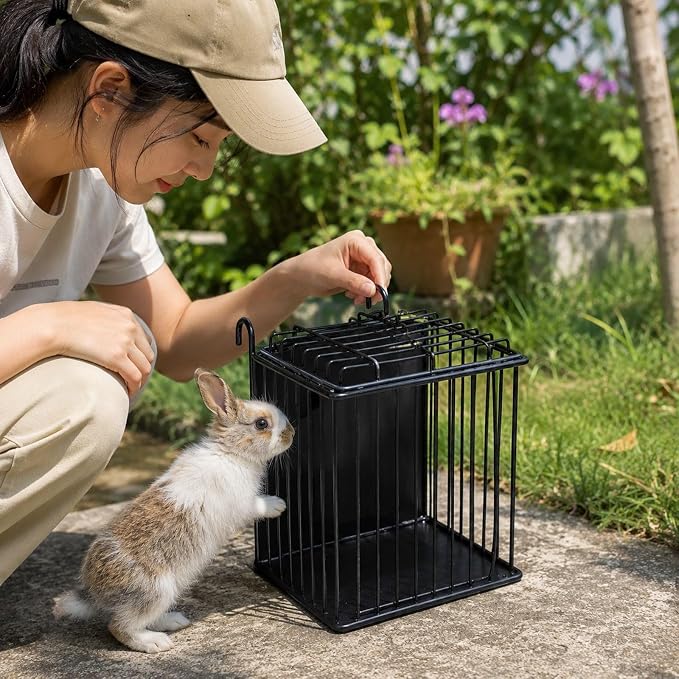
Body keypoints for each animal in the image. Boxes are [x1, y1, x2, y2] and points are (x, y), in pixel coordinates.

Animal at [53, 368, 293, 653]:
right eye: (261, 424)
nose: (291, 433)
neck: (230, 453)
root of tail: (93, 593)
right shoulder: (242, 501)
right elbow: (258, 505)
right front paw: (278, 505)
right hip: (156, 592)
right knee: (120, 626)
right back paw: (156, 643)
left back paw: (174, 621)